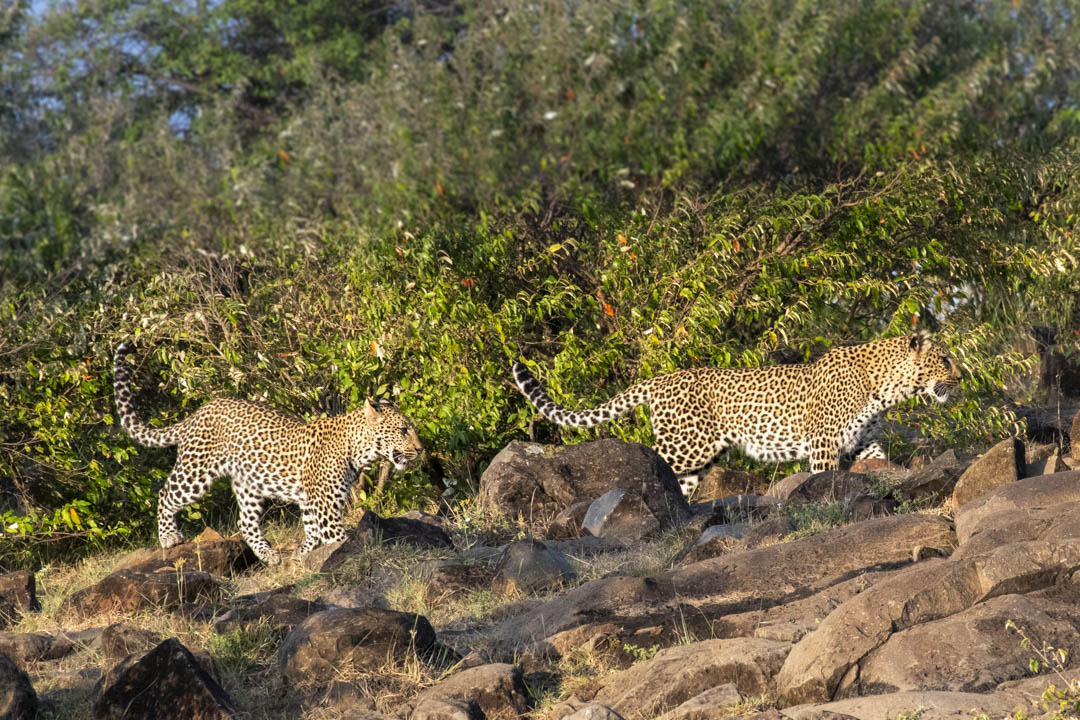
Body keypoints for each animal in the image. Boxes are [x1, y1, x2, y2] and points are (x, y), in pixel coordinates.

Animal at [113, 342, 423, 564]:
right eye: (404, 429)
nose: (421, 450)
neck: (358, 449)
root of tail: (198, 413)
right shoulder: (325, 507)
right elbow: (336, 538)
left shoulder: (311, 503)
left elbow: (311, 533)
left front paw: (300, 556)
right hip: (195, 472)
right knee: (166, 494)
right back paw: (169, 537)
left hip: (248, 483)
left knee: (246, 521)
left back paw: (269, 554)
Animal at [513, 332, 961, 496]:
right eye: (944, 359)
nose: (961, 378)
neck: (886, 387)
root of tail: (659, 379)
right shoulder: (823, 443)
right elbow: (823, 476)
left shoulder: (862, 442)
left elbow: (880, 461)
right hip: (685, 445)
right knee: (650, 460)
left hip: (693, 463)